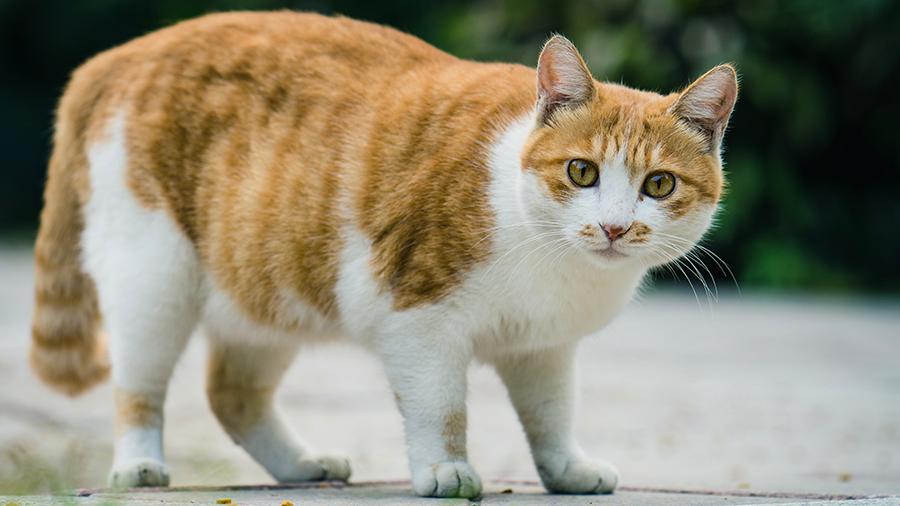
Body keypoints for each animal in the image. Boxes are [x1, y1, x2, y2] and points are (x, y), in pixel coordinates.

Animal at [31, 10, 740, 498]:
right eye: (582, 172)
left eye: (659, 185)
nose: (615, 228)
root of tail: (124, 53)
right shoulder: (420, 320)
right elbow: (441, 407)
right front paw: (446, 469)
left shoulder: (544, 346)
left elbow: (551, 412)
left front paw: (566, 467)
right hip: (154, 278)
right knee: (140, 385)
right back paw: (139, 464)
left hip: (267, 287)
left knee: (231, 393)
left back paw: (302, 465)